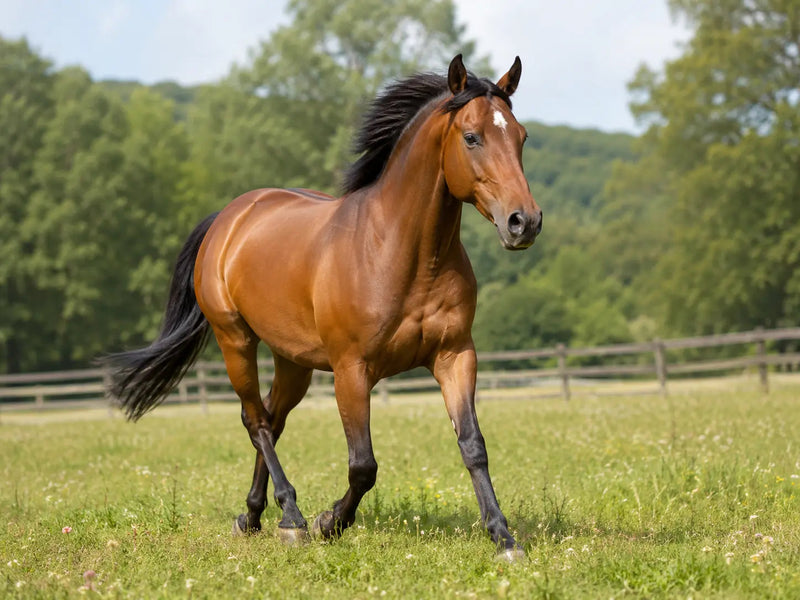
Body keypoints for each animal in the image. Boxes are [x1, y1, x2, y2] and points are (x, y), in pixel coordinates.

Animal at [104, 54, 542, 561]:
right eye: (471, 137)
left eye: (521, 136)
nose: (524, 222)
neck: (403, 252)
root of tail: (229, 219)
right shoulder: (351, 370)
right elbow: (363, 465)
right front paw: (329, 521)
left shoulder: (454, 356)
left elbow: (473, 446)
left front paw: (503, 537)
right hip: (235, 341)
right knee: (256, 421)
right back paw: (291, 518)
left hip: (292, 361)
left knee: (273, 421)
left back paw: (253, 516)